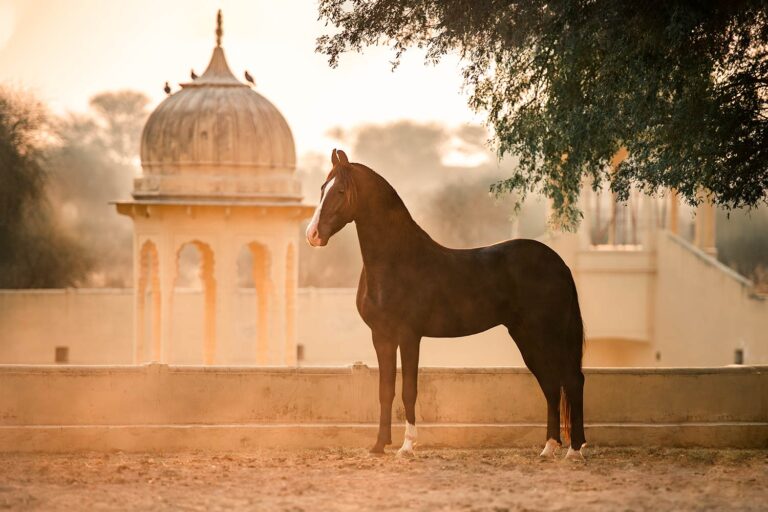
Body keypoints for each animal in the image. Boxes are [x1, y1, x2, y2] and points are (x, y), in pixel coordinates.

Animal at [306, 149, 587, 460]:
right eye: (322, 188)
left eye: (340, 191)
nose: (313, 234)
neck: (397, 260)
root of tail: (560, 264)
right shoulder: (381, 336)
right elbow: (385, 390)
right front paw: (379, 445)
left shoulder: (409, 335)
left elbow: (409, 390)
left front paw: (407, 446)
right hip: (526, 336)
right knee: (551, 385)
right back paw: (549, 448)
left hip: (549, 334)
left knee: (572, 380)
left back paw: (574, 450)